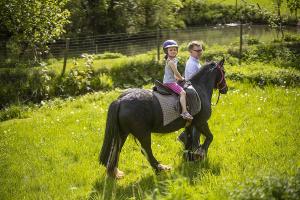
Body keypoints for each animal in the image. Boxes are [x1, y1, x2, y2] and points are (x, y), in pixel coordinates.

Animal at [98, 59, 227, 178]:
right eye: (224, 72)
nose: (225, 89)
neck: (200, 89)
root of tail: (120, 101)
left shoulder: (190, 125)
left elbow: (189, 141)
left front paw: (189, 158)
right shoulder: (201, 122)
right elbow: (210, 137)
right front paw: (199, 154)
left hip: (122, 133)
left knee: (116, 150)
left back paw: (114, 172)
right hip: (143, 133)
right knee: (146, 151)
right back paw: (160, 168)